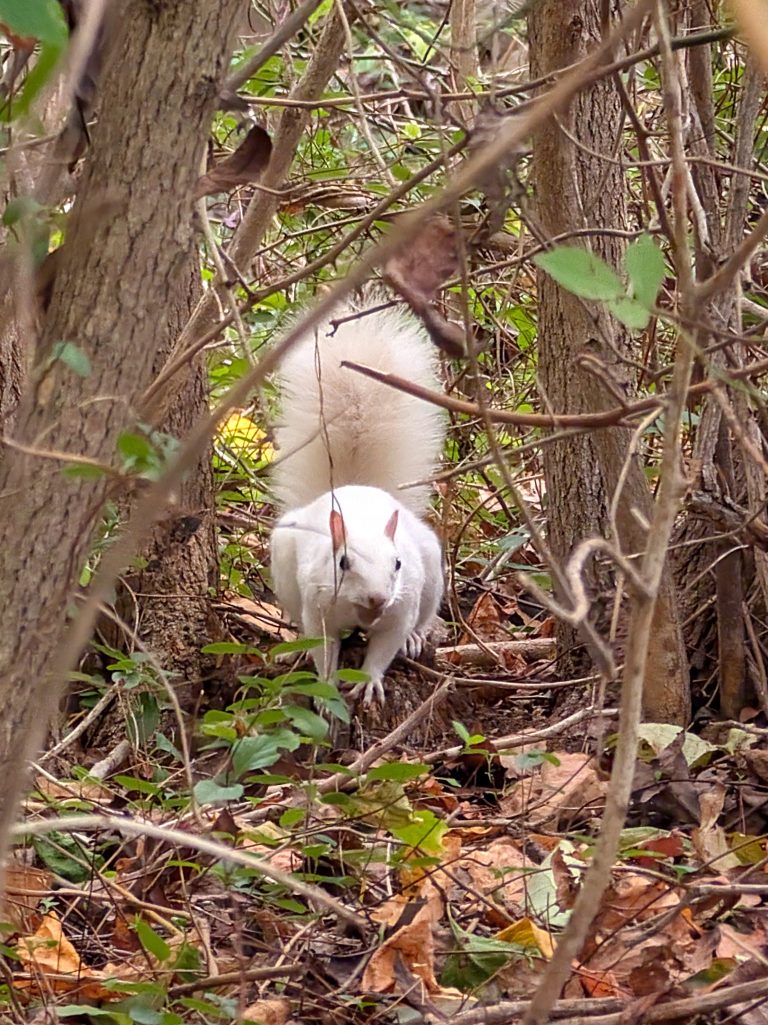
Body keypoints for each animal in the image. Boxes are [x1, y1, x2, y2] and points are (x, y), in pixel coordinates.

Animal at [270, 298, 446, 704]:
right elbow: (323, 649)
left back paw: (417, 638)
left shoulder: (400, 609)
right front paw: (326, 690)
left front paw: (369, 682)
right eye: (343, 563)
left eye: (397, 563)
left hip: (431, 571)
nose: (378, 599)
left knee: (424, 616)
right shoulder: (318, 610)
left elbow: (384, 647)